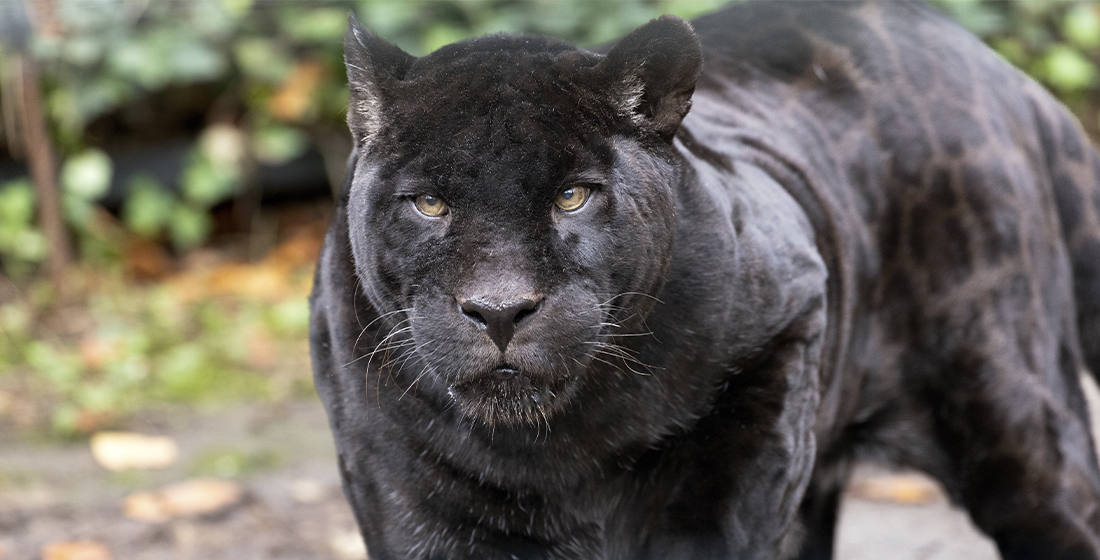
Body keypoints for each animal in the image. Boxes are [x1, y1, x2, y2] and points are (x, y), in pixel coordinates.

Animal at [309, 1, 1100, 558]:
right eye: (429, 204)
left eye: (573, 195)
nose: (501, 310)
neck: (550, 452)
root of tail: (990, 64)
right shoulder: (404, 490)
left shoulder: (785, 327)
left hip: (1020, 431)